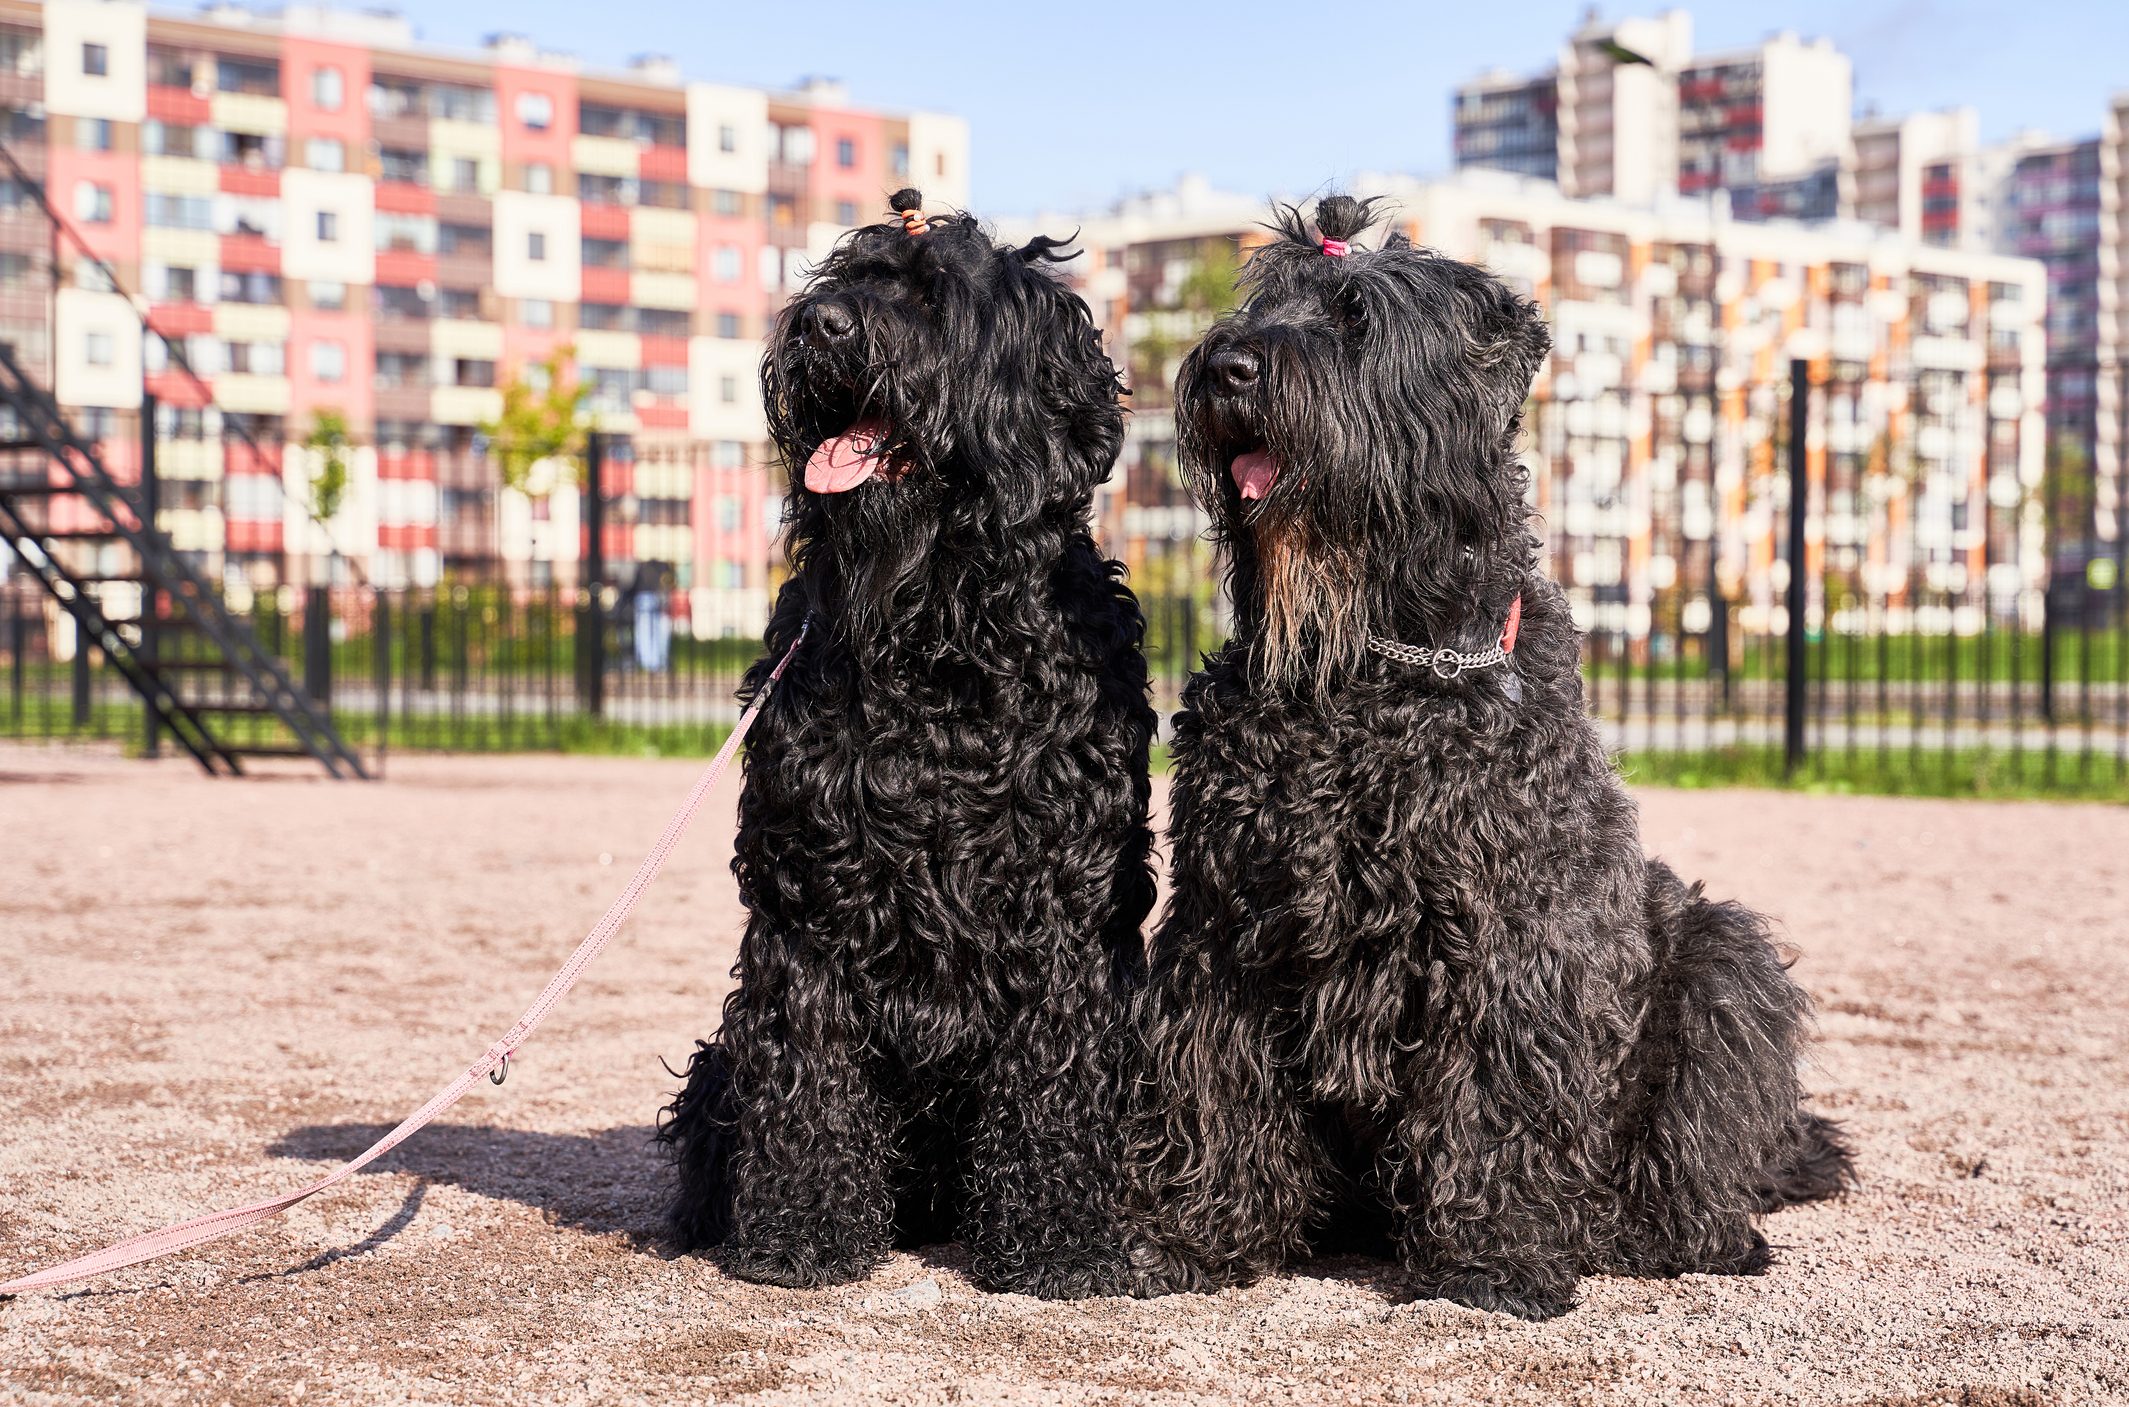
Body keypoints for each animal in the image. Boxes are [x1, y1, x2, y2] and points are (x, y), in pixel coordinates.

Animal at [664, 191, 1166, 1302]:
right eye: (838, 282)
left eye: (932, 299)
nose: (818, 329)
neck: (940, 636)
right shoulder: (806, 896)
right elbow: (807, 1069)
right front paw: (800, 1232)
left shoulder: (1065, 911)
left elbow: (1054, 1074)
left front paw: (1060, 1240)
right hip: (722, 1058)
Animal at [1132, 194, 1847, 1319]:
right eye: (1260, 303)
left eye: (1354, 319)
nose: (1227, 367)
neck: (1370, 667)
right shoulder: (1224, 922)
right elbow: (1213, 1082)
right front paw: (1193, 1236)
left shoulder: (1503, 939)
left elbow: (1489, 1094)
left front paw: (1491, 1264)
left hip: (1718, 961)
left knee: (1701, 1152)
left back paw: (1648, 1229)